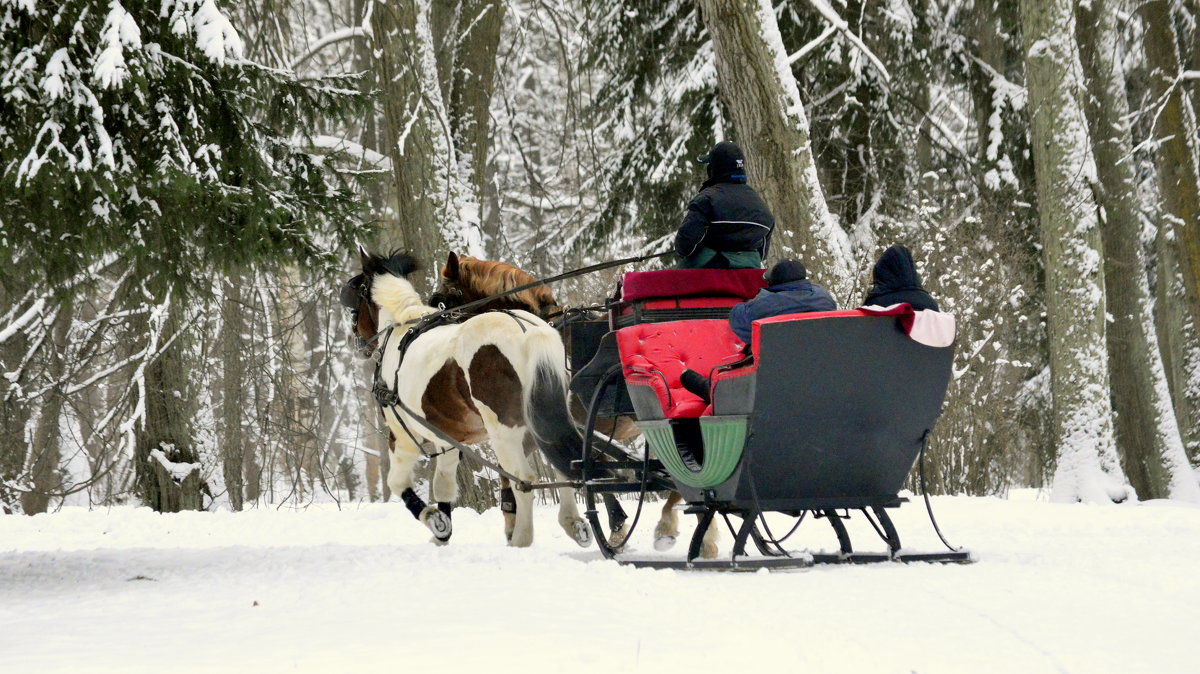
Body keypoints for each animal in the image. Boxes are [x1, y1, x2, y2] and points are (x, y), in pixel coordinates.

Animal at [340, 247, 592, 546]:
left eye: (356, 297)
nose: (354, 341)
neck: (401, 326)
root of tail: (528, 329)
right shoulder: (447, 440)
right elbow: (444, 485)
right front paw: (442, 533)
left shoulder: (403, 436)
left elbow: (398, 483)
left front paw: (434, 521)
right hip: (545, 421)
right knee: (563, 466)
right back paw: (573, 523)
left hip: (503, 431)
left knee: (522, 479)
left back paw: (521, 540)